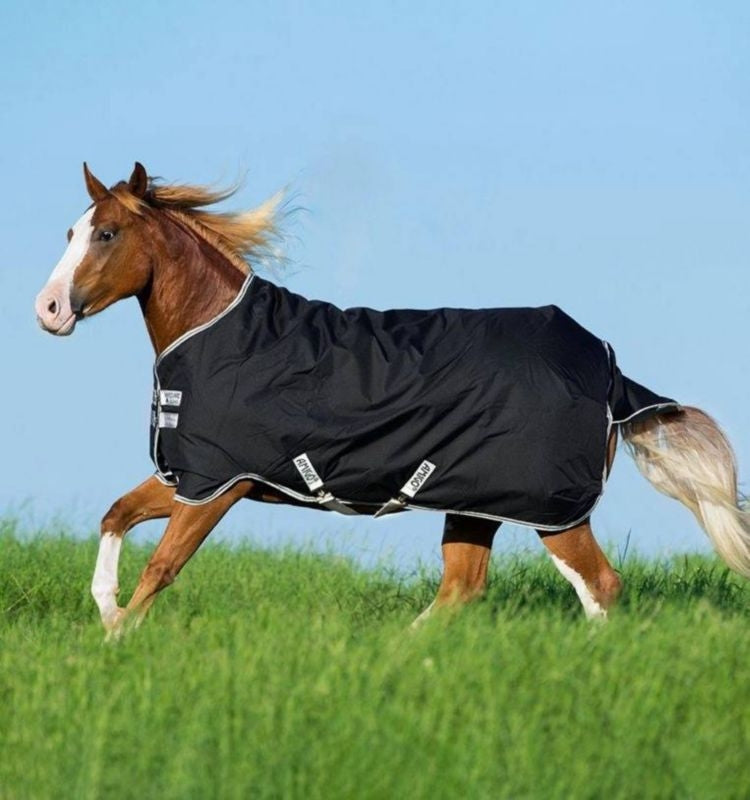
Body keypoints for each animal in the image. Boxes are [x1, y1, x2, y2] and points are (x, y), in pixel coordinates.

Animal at [35, 163, 750, 635]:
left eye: (107, 234)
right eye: (71, 231)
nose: (48, 310)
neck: (219, 334)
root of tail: (608, 368)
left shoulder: (219, 484)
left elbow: (162, 567)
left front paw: (119, 638)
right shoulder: (191, 478)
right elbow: (116, 515)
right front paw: (106, 617)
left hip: (552, 509)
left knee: (600, 587)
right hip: (475, 502)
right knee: (462, 590)